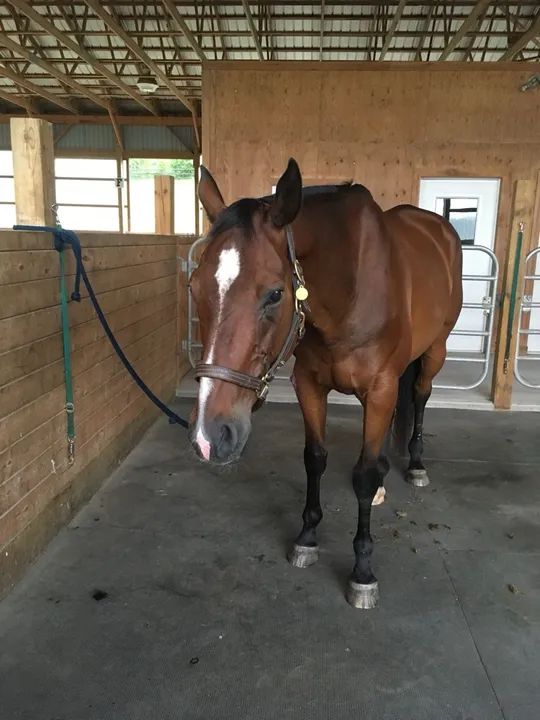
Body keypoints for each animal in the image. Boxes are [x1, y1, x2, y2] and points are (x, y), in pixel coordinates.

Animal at [188, 158, 462, 609]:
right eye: (194, 287)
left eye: (275, 294)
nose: (210, 437)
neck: (350, 289)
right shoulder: (309, 384)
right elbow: (314, 458)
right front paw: (307, 537)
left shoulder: (381, 387)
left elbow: (362, 476)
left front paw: (362, 571)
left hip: (434, 351)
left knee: (420, 396)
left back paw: (415, 464)